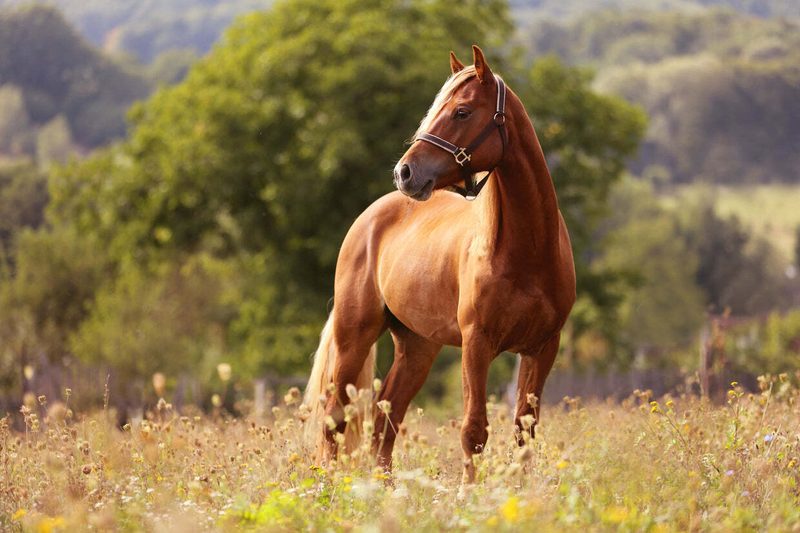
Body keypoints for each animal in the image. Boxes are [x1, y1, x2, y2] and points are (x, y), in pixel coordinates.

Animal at [303, 45, 576, 484]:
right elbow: (474, 430)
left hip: (417, 347)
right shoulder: (477, 344)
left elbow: (524, 431)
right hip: (354, 336)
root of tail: (370, 217)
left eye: (462, 112)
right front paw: (469, 493)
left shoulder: (542, 348)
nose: (405, 172)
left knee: (385, 420)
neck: (527, 253)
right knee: (335, 417)